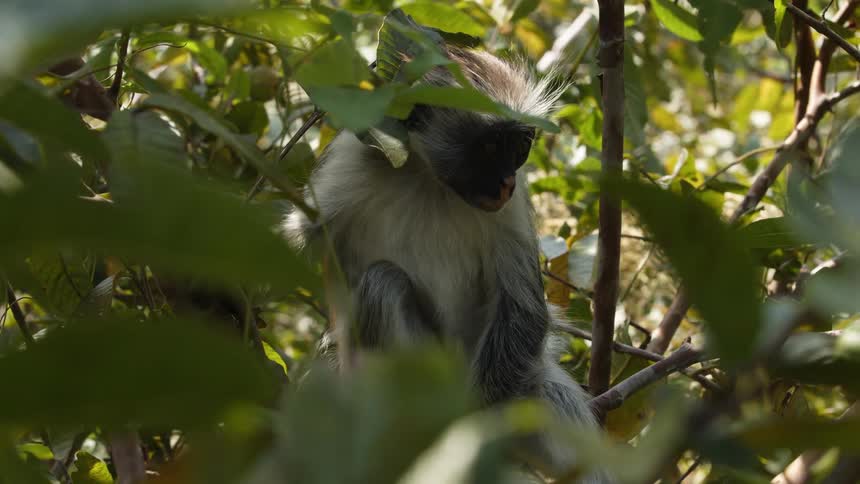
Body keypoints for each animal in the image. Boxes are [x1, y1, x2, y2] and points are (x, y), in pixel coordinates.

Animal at [285, 45, 610, 482]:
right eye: (490, 147)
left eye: (519, 147)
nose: (506, 182)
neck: (428, 179)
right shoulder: (353, 160)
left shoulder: (509, 208)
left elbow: (523, 309)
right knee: (383, 282)